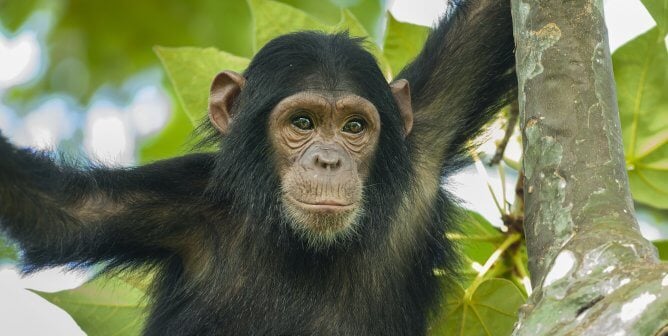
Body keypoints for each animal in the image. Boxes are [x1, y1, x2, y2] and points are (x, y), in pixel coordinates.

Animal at [0, 1, 516, 334]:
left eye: (354, 126)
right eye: (302, 122)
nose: (329, 160)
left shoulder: (423, 141)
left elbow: (486, 26)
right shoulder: (181, 201)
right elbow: (65, 211)